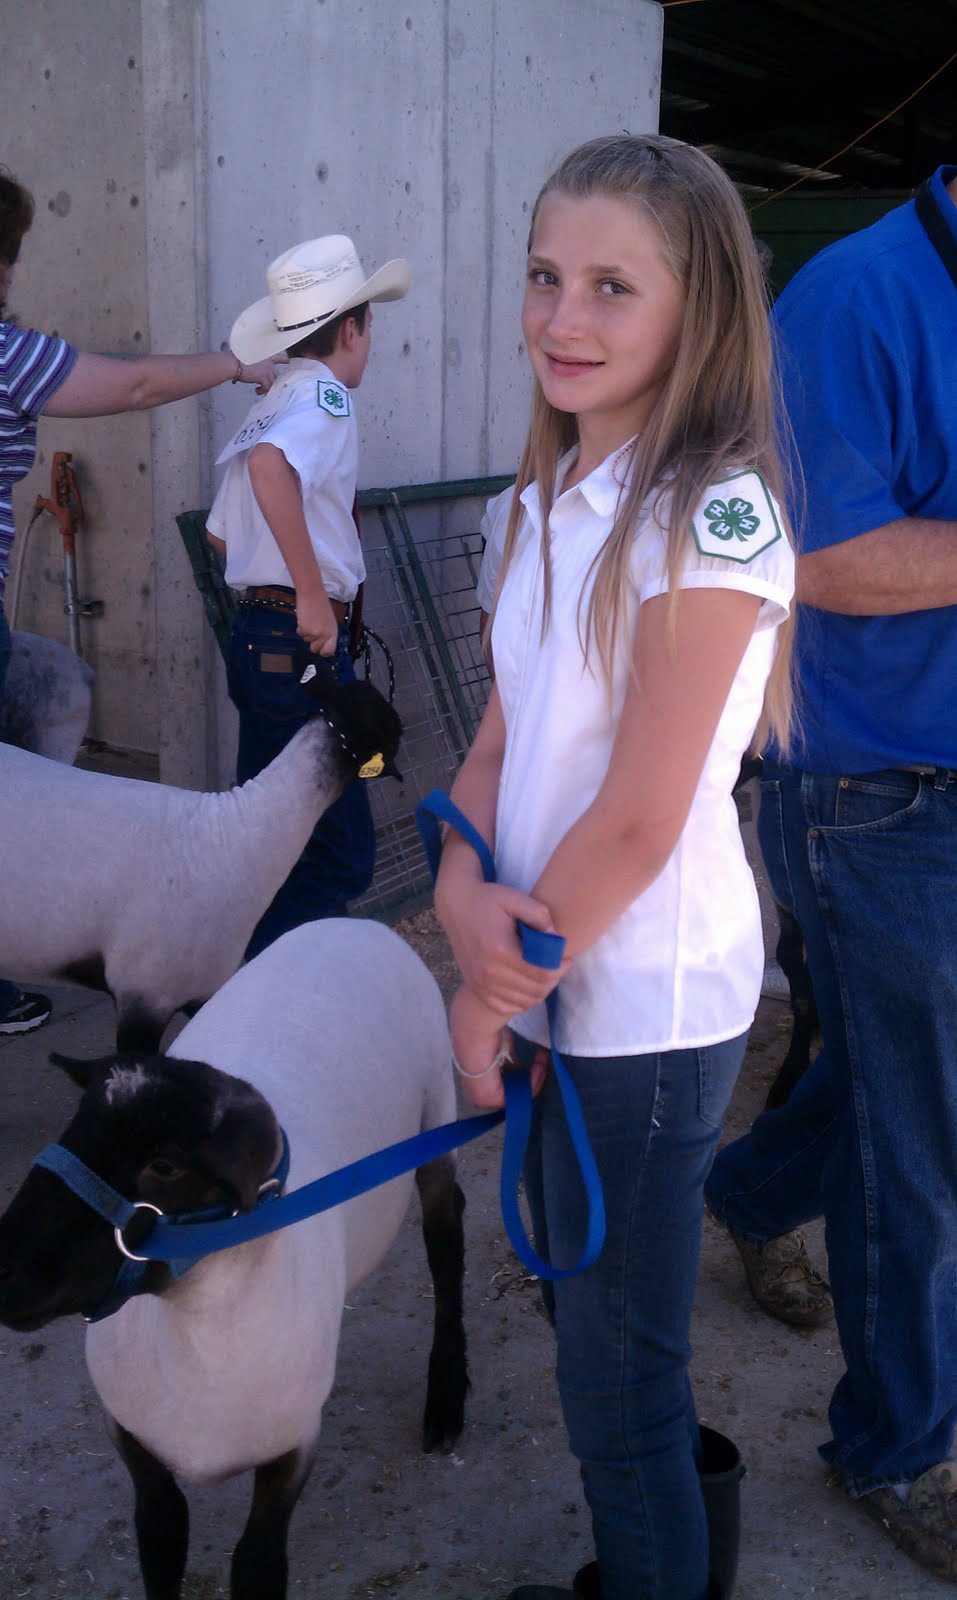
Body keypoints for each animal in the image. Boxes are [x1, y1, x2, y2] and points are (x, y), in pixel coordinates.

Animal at [0, 917, 468, 1600]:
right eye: (72, 1130)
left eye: (166, 1166)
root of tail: (356, 921)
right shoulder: (133, 1439)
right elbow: (160, 1539)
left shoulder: (291, 1452)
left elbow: (257, 1565)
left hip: (436, 1113)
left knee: (445, 1231)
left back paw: (446, 1400)